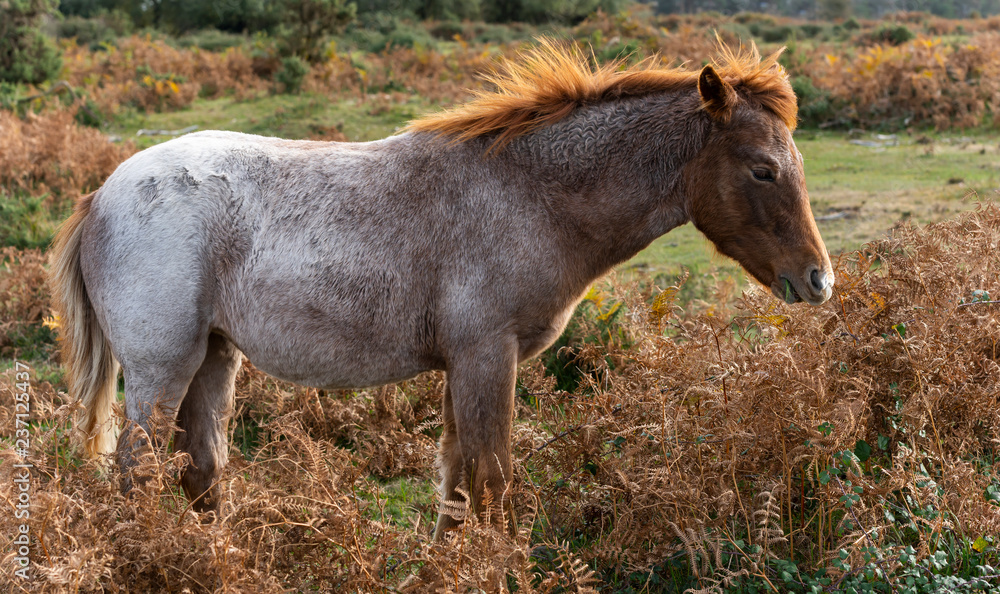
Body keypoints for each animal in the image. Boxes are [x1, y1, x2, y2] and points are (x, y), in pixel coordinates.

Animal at [49, 39, 834, 539]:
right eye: (763, 169)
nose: (819, 279)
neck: (529, 194)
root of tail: (102, 195)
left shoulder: (464, 367)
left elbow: (458, 484)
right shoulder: (488, 358)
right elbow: (490, 480)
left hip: (215, 359)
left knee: (200, 471)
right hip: (163, 369)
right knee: (137, 473)